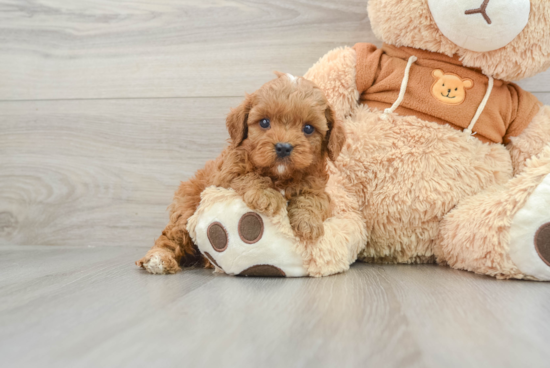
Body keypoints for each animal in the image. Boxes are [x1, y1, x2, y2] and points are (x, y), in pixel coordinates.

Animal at [137, 72, 344, 274]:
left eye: (308, 128)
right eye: (264, 122)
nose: (283, 147)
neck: (279, 176)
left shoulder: (316, 186)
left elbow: (312, 199)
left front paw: (308, 223)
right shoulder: (225, 175)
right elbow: (246, 176)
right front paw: (266, 195)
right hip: (186, 209)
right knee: (171, 236)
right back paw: (158, 259)